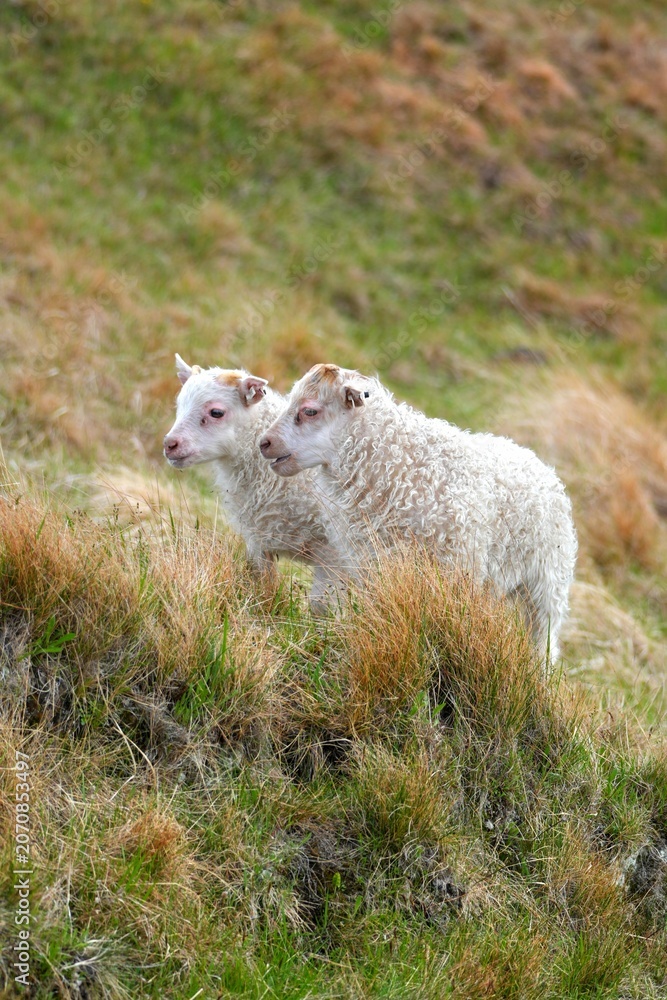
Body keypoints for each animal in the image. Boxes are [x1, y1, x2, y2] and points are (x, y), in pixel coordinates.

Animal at [163, 355, 344, 610]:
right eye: (179, 404)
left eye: (216, 412)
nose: (170, 444)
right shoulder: (259, 544)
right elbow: (264, 588)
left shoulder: (333, 553)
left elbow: (321, 605)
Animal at [259, 363, 577, 660]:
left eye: (310, 410)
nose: (265, 443)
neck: (398, 465)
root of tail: (536, 461)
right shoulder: (371, 564)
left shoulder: (455, 568)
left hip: (548, 580)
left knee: (543, 636)